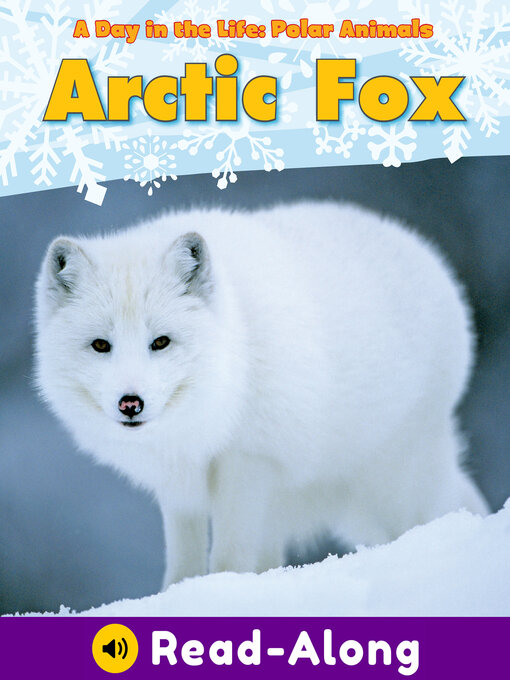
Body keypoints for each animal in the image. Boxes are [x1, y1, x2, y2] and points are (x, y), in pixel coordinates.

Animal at [35, 201, 488, 590]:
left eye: (160, 342)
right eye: (100, 345)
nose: (131, 403)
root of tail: (426, 254)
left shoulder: (247, 462)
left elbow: (229, 557)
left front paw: (221, 593)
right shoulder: (179, 488)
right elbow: (183, 563)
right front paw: (179, 595)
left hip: (392, 485)